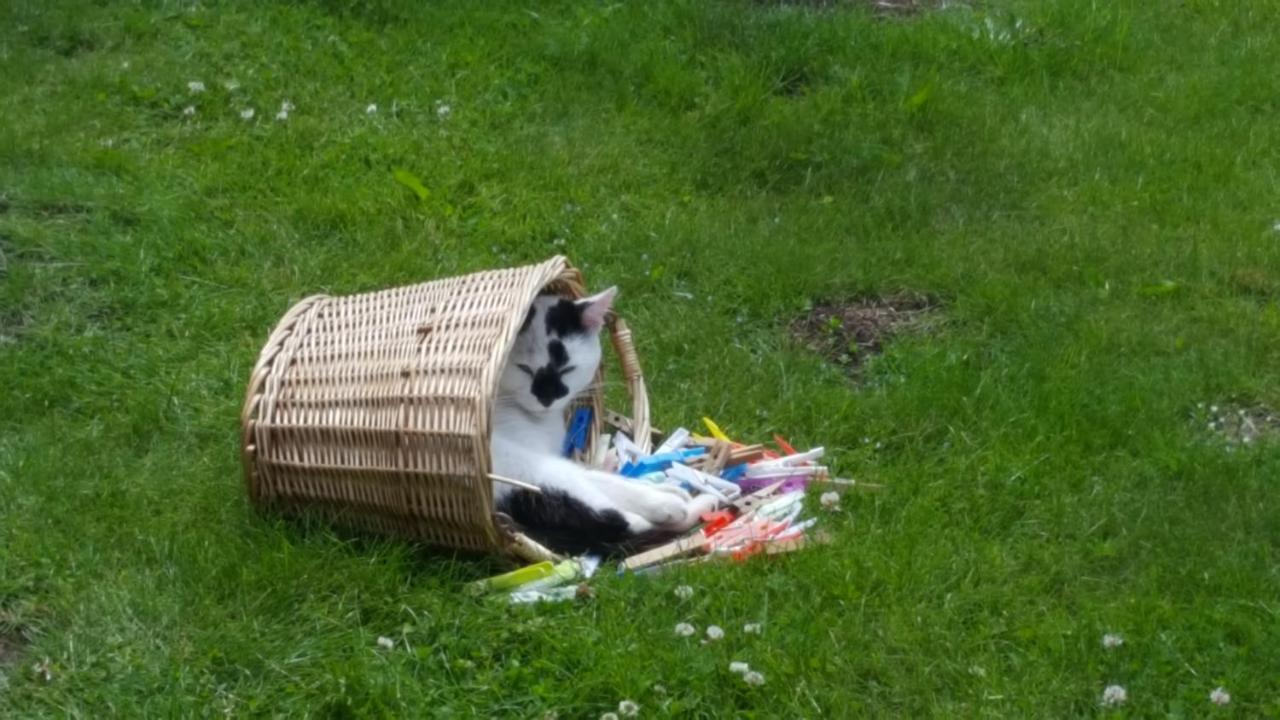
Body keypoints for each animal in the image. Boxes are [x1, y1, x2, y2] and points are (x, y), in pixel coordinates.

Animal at [486, 286, 716, 556]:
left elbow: (603, 479)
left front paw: (663, 489)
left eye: (567, 369)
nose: (546, 398)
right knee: (613, 520)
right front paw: (665, 500)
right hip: (525, 470)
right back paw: (683, 506)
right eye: (524, 369)